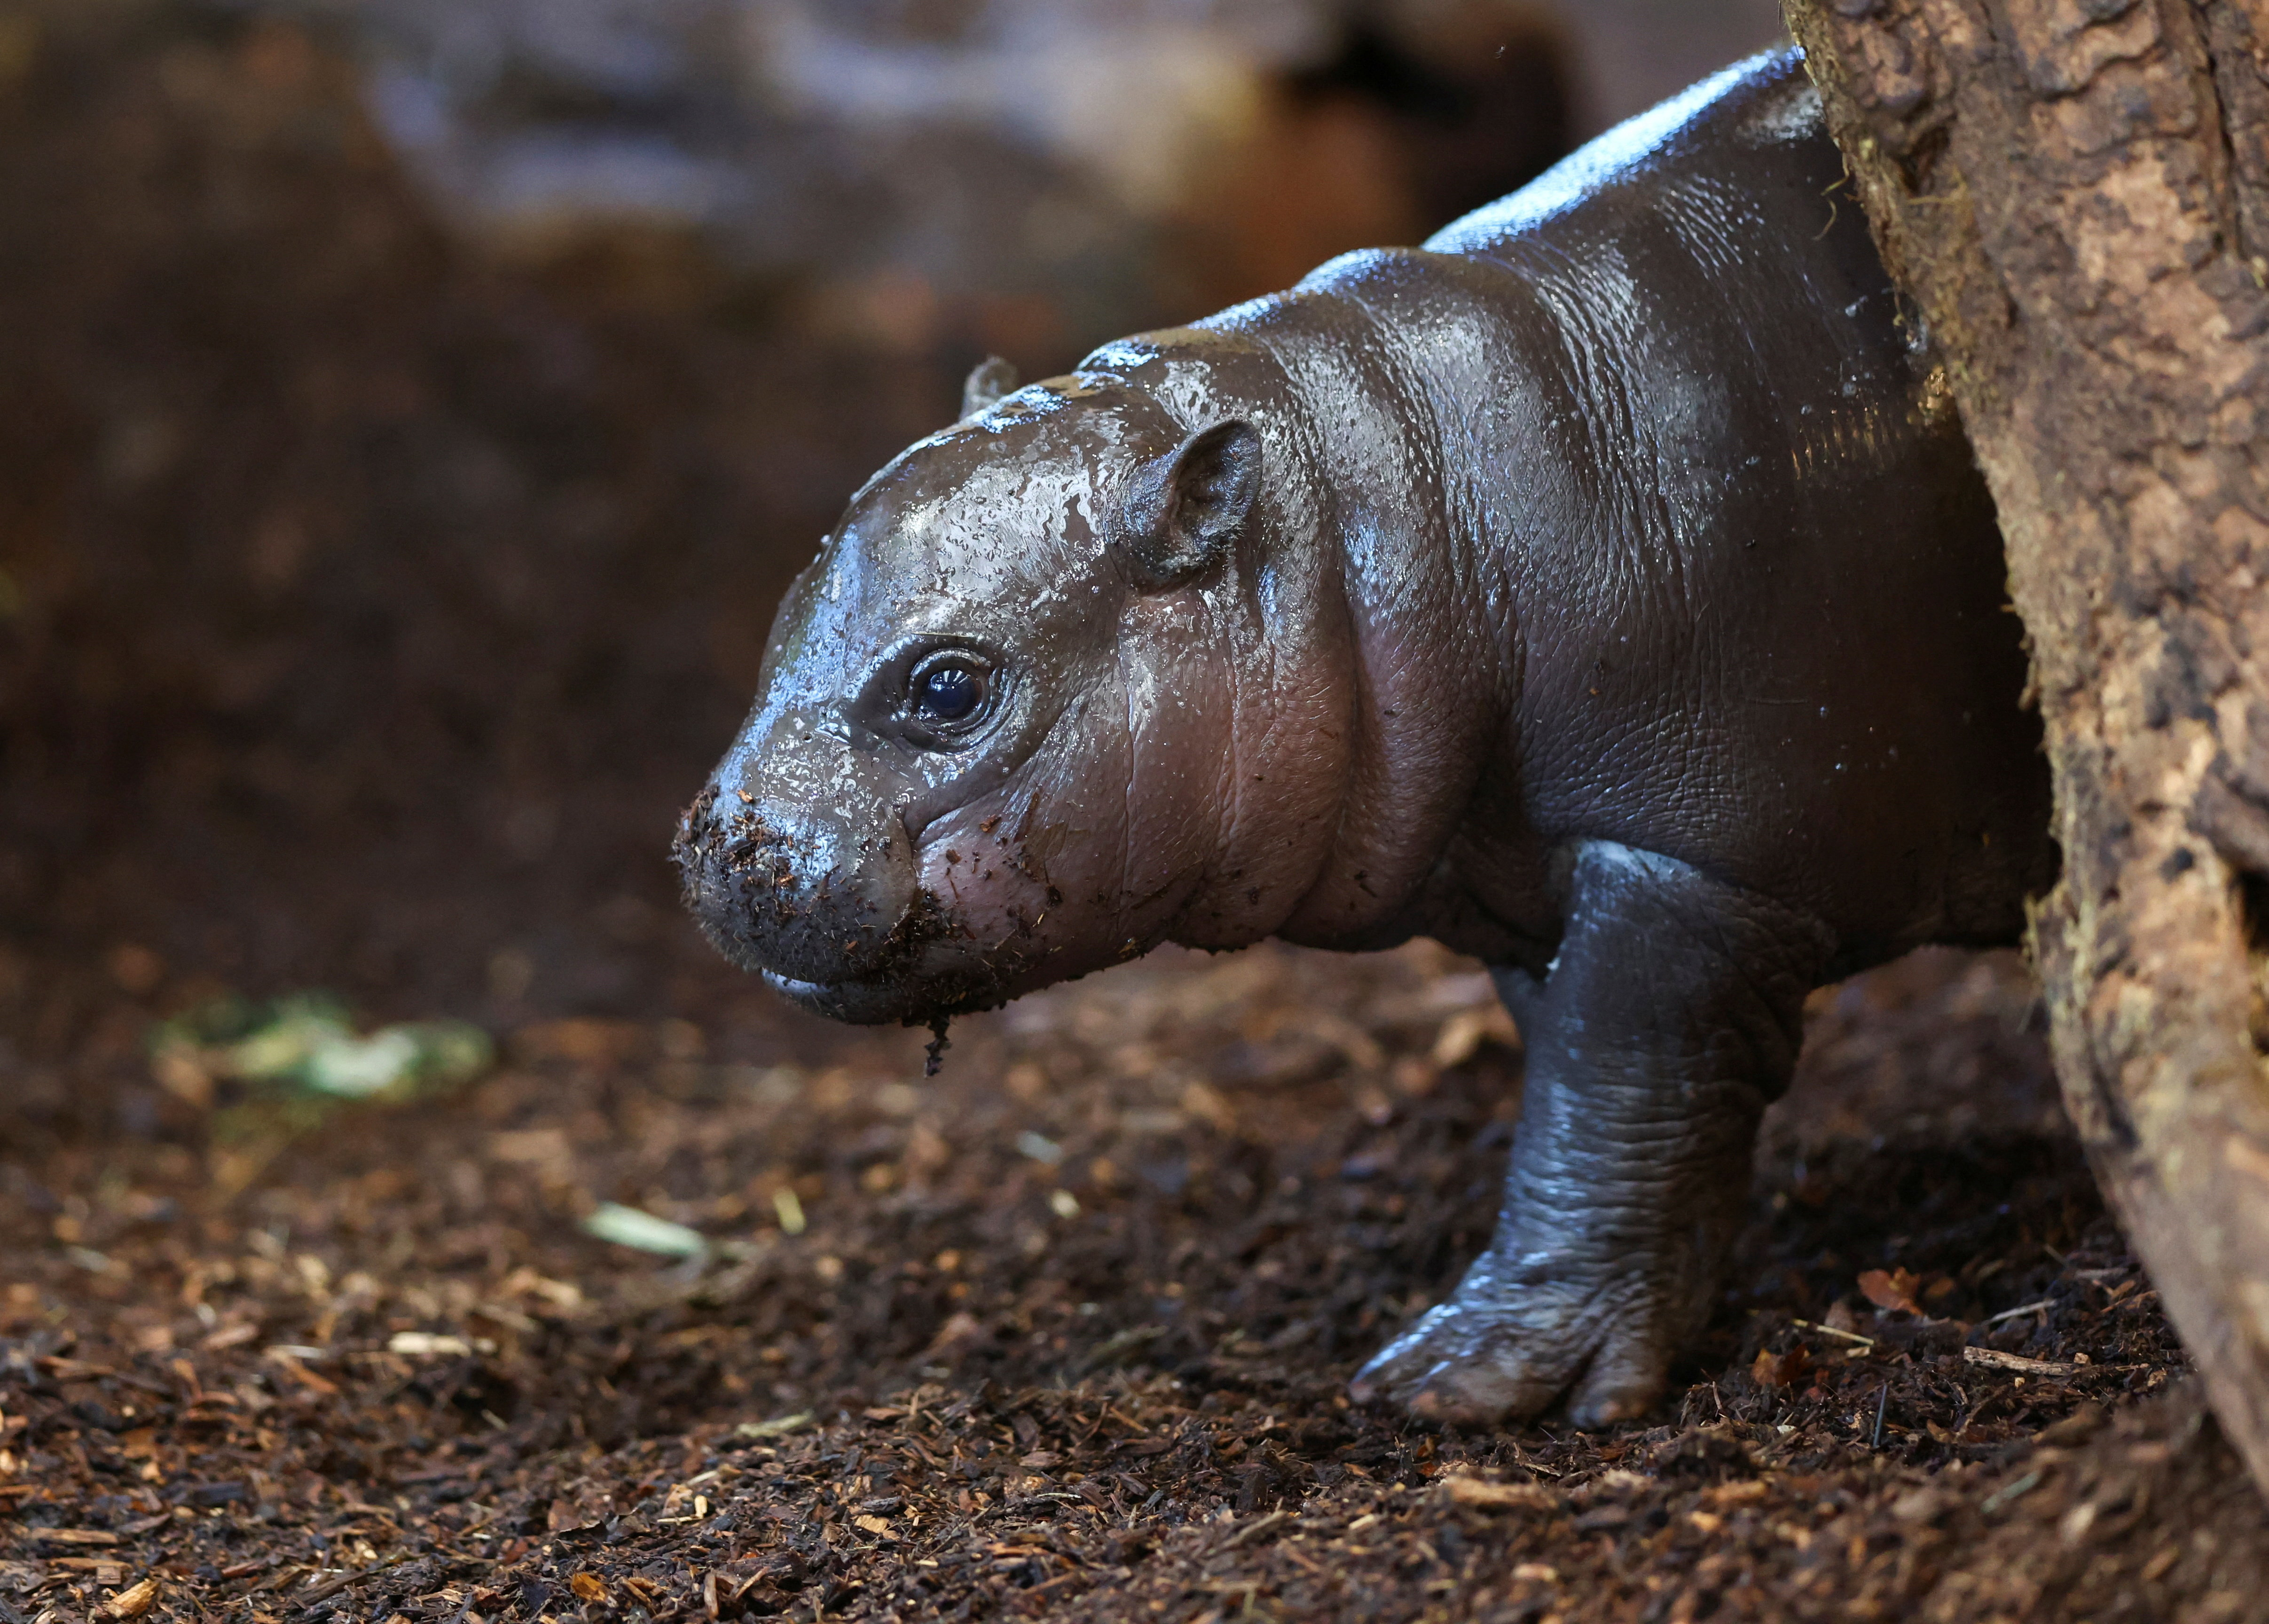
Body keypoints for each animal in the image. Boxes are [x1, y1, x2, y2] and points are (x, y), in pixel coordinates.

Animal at [673, 46, 2055, 1427]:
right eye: (782, 617)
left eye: (950, 686)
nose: (716, 845)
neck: (1386, 506)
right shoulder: (1524, 874)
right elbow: (1603, 1088)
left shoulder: (1694, 859)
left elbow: (1616, 1083)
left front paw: (1459, 1380)